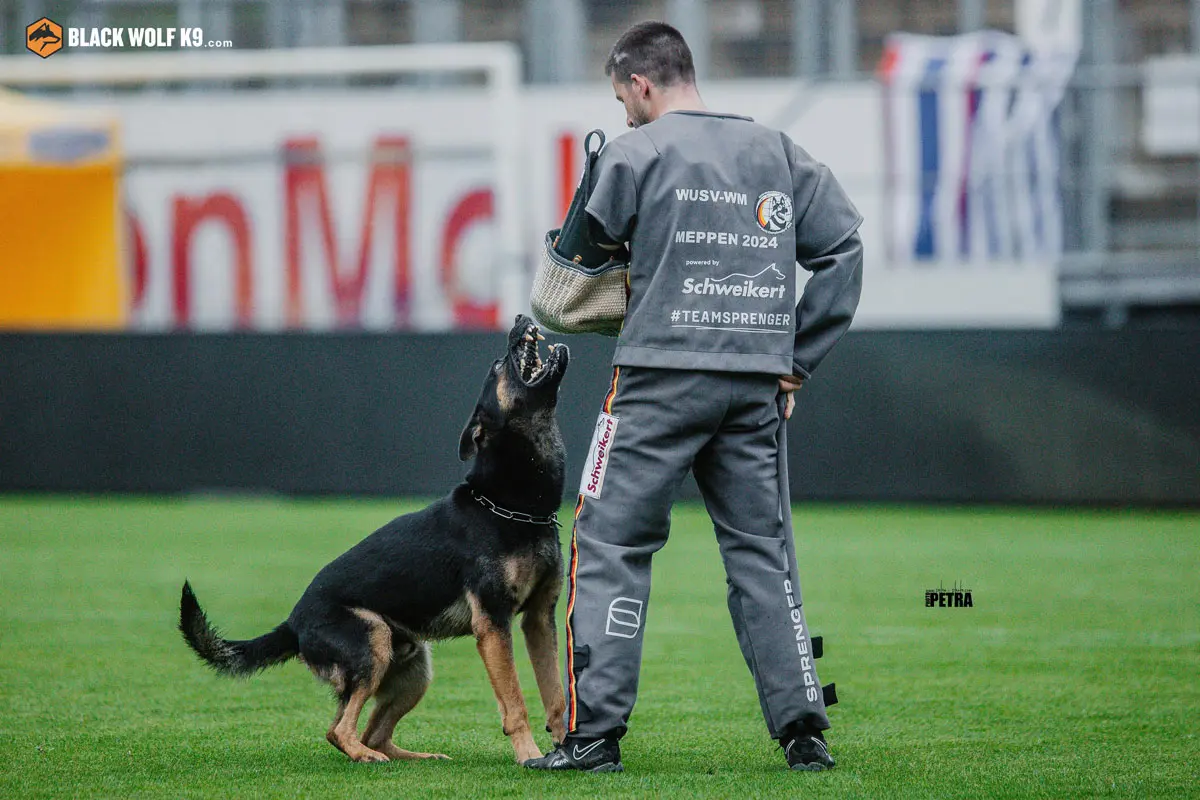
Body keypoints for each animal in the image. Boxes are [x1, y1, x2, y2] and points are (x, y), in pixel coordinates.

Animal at [178, 314, 571, 762]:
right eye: (497, 367)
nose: (521, 318)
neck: (510, 505)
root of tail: (293, 623)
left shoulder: (538, 620)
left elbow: (556, 696)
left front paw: (565, 749)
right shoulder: (493, 626)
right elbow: (516, 703)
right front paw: (530, 755)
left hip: (414, 666)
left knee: (369, 731)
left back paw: (412, 759)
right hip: (374, 644)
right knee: (340, 730)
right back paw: (366, 757)